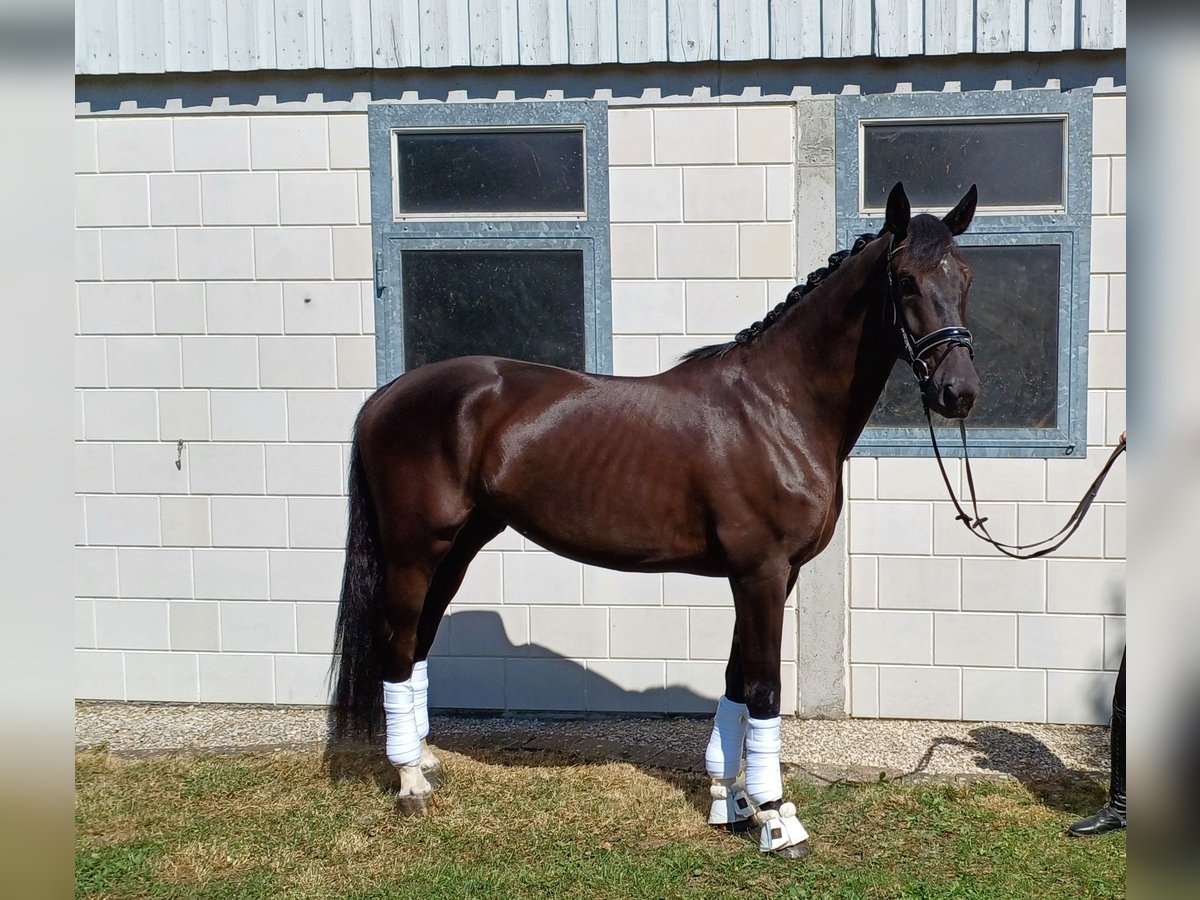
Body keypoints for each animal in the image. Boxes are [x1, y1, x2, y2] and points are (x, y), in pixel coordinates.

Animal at [328, 181, 974, 859]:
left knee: (418, 642)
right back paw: (409, 784)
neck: (778, 407)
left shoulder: (767, 575)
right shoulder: (762, 572)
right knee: (397, 646)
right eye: (905, 281)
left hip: (458, 546)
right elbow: (764, 688)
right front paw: (775, 818)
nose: (958, 392)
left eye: (966, 277)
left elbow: (736, 681)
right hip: (413, 550)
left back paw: (425, 761)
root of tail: (386, 395)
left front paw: (730, 801)